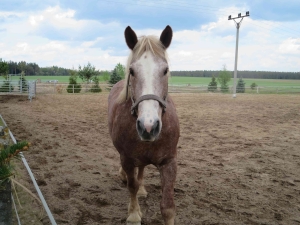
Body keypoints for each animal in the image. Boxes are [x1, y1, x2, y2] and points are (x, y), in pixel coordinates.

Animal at [107, 25, 178, 224]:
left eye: (165, 70)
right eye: (132, 71)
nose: (149, 126)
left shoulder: (170, 161)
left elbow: (168, 207)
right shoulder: (127, 159)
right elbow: (131, 186)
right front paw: (133, 214)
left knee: (142, 170)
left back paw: (142, 189)